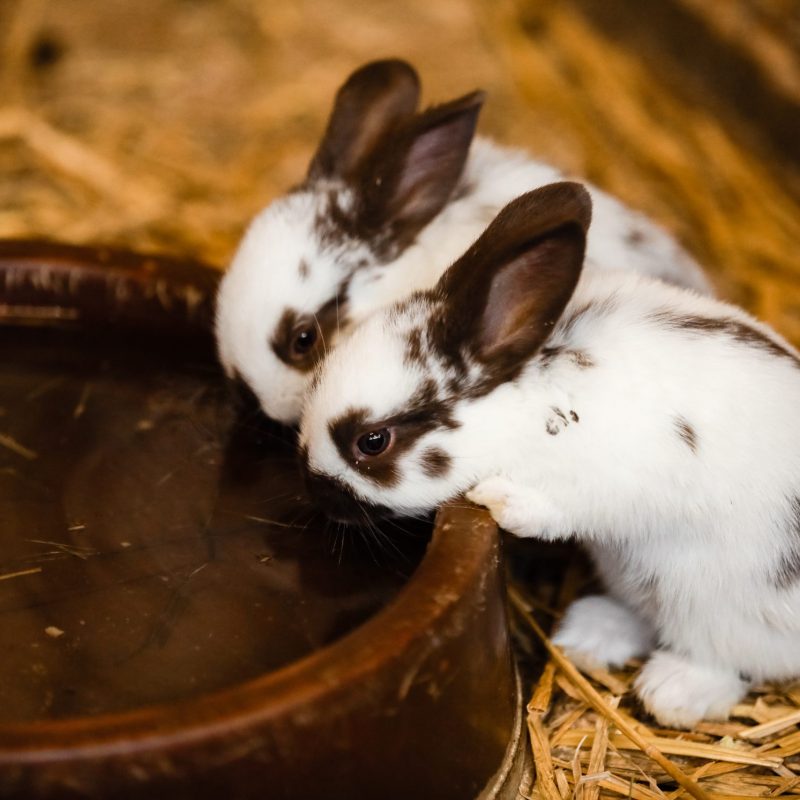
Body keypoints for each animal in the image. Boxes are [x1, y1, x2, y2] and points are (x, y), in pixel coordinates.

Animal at [298, 183, 800, 732]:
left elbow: (565, 506)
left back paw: (672, 691)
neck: (526, 399)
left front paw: (499, 499)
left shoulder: (621, 474)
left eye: (372, 442)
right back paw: (587, 634)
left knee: (730, 659)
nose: (314, 490)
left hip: (718, 604)